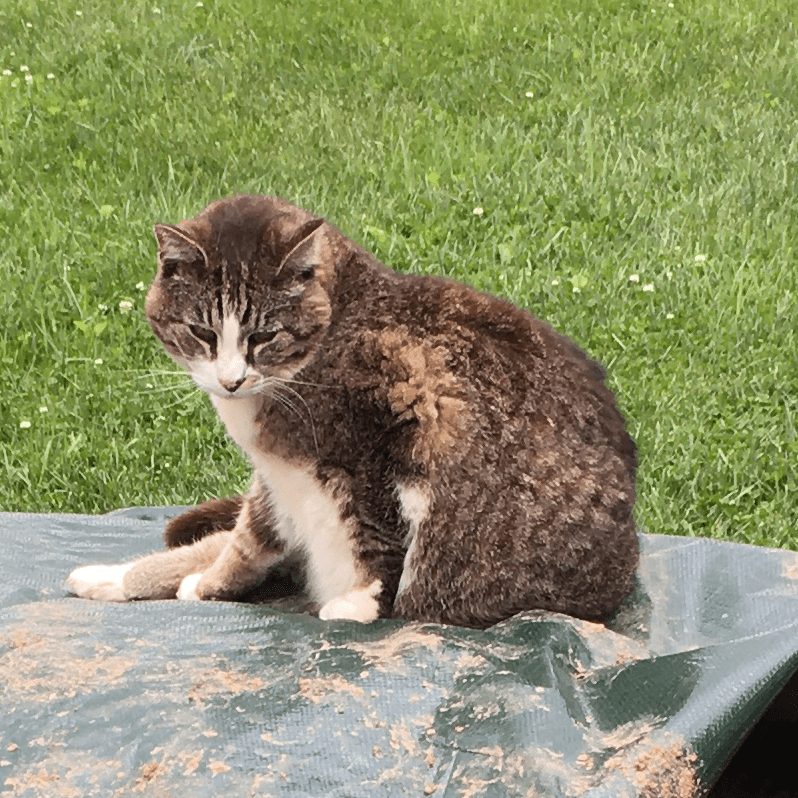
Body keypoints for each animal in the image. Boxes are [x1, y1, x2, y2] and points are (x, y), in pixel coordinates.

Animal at [69, 195, 644, 632]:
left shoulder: (397, 421)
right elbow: (246, 541)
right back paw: (108, 577)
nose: (231, 379)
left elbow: (379, 530)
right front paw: (210, 584)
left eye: (264, 336)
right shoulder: (276, 481)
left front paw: (361, 603)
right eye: (202, 332)